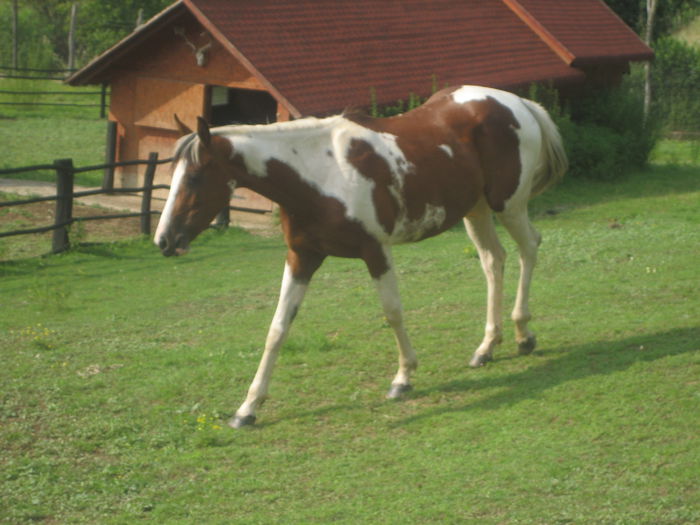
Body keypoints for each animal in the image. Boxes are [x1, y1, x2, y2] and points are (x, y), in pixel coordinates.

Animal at [156, 85, 568, 426]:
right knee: (493, 261)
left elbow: (392, 313)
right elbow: (277, 329)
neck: (318, 176)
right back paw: (486, 348)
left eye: (194, 178)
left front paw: (403, 378)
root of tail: (519, 103)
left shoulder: (376, 252)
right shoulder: (301, 258)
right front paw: (247, 409)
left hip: (508, 205)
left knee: (529, 248)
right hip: (476, 210)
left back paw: (524, 334)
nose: (164, 240)